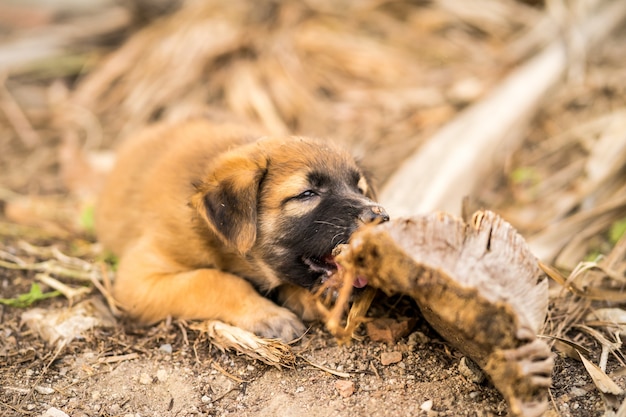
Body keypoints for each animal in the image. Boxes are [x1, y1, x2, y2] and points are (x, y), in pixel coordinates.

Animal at [95, 118, 388, 340]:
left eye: (359, 189)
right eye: (306, 194)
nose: (382, 216)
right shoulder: (137, 277)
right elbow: (213, 280)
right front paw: (270, 315)